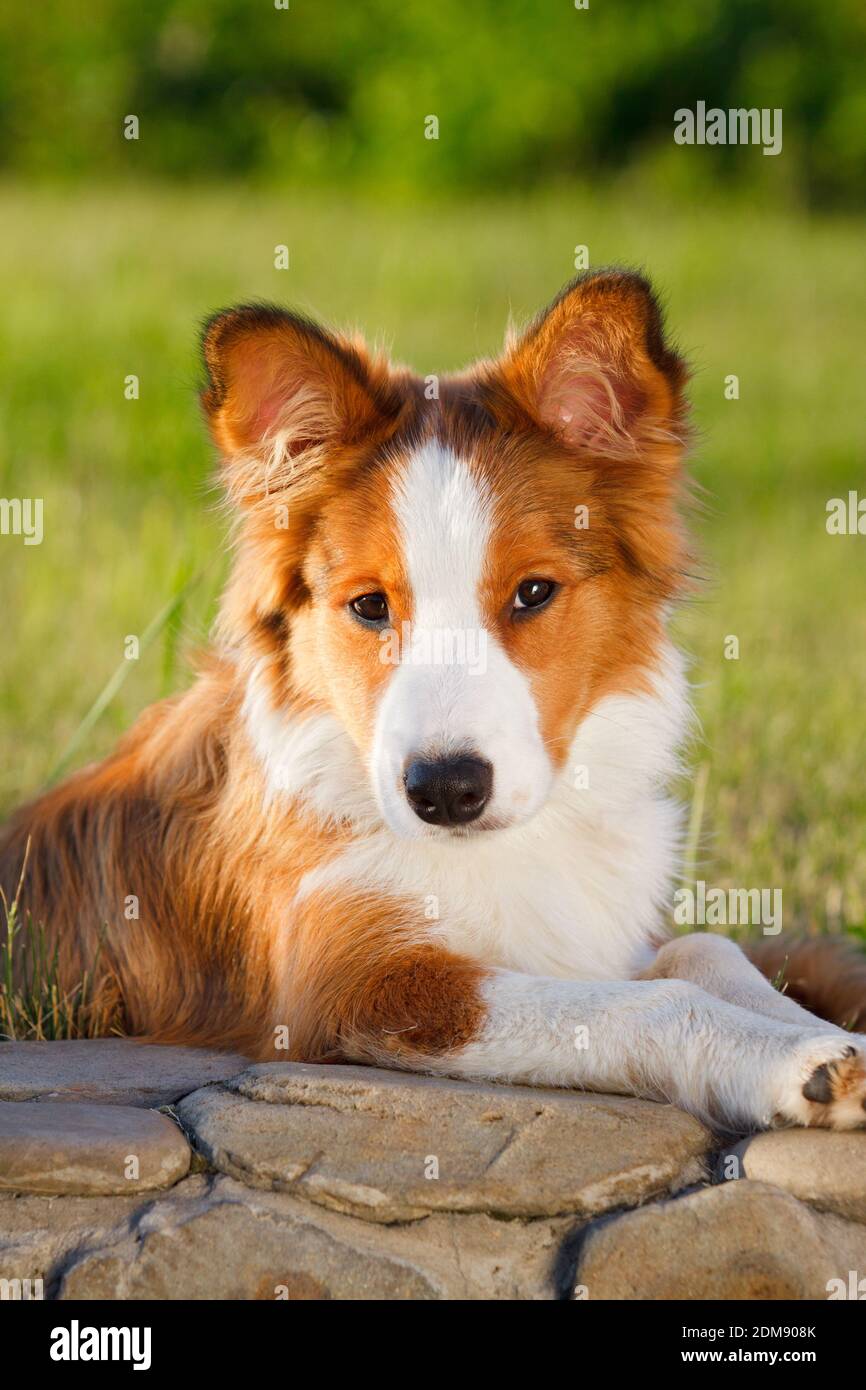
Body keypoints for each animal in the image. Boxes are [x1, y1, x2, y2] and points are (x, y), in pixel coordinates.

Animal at [1, 268, 866, 1128]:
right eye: (369, 605)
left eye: (533, 592)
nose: (445, 791)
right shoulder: (349, 982)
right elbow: (645, 1003)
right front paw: (794, 1060)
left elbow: (703, 947)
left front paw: (819, 1033)